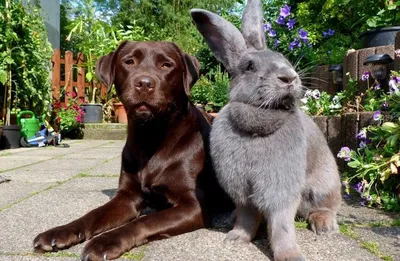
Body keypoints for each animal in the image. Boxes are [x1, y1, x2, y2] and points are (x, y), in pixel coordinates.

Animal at [191, 1, 340, 258]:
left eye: (284, 58)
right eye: (249, 66)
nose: (289, 77)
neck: (259, 118)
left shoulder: (280, 188)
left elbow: (281, 224)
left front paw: (290, 256)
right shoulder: (242, 190)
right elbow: (247, 216)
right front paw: (235, 239)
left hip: (325, 184)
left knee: (327, 206)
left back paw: (324, 224)